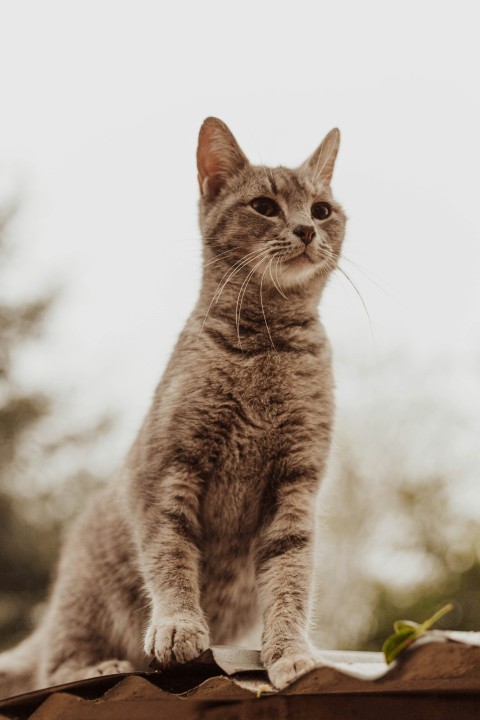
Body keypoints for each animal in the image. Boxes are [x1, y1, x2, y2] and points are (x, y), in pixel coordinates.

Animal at [0, 118, 344, 696]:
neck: (266, 347)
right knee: (53, 665)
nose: (305, 230)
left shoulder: (295, 487)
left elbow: (290, 577)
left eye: (321, 210)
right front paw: (179, 624)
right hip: (83, 601)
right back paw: (98, 667)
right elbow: (170, 556)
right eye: (264, 206)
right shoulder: (166, 474)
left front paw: (291, 652)